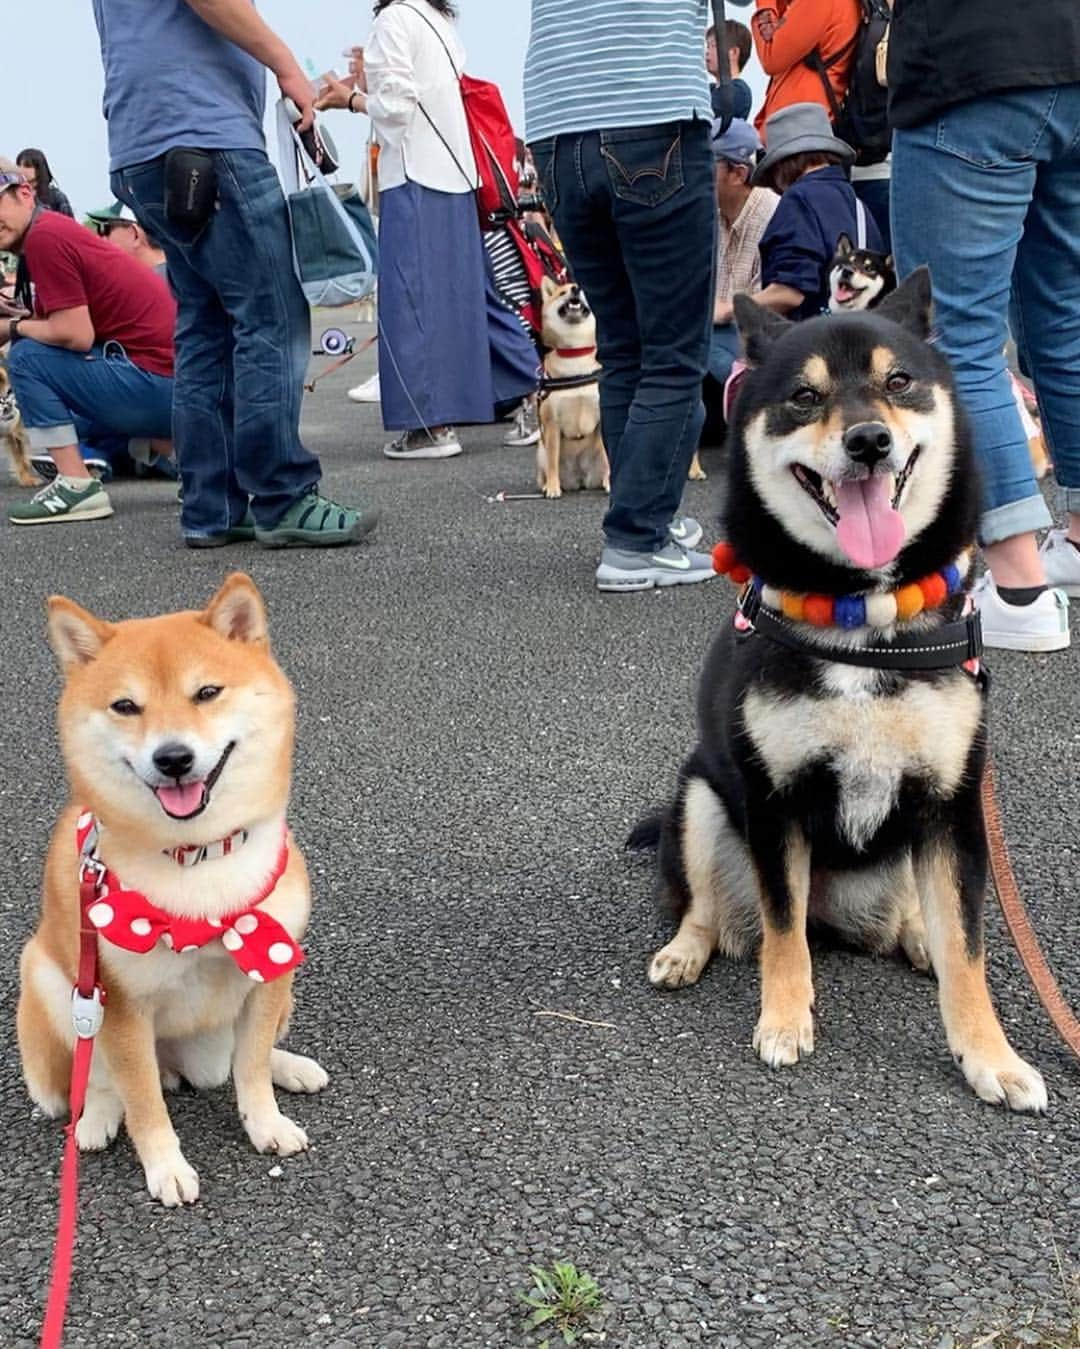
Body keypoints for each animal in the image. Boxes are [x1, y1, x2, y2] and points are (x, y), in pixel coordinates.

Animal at [16, 574, 326, 1208]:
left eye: (207, 692)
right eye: (125, 706)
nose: (174, 756)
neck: (197, 858)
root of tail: (184, 1064)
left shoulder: (270, 968)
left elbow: (251, 1068)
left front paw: (266, 1123)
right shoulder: (120, 1006)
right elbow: (143, 1103)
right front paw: (165, 1167)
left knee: (244, 1057)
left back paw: (290, 1066)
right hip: (53, 981)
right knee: (99, 1080)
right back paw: (95, 1120)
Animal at [536, 276, 606, 499]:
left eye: (582, 291)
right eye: (561, 293)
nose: (575, 288)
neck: (575, 357)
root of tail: (580, 481)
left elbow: (609, 457)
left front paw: (611, 481)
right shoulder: (551, 423)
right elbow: (552, 462)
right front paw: (552, 487)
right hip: (540, 449)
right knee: (545, 467)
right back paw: (546, 485)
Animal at [631, 268, 1046, 1111]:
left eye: (899, 382)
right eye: (803, 396)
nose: (869, 441)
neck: (860, 612)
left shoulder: (954, 807)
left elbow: (968, 949)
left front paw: (991, 1055)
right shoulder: (776, 801)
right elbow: (781, 930)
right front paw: (785, 1020)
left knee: (918, 919)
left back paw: (917, 938)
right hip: (699, 797)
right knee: (711, 906)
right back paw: (685, 950)